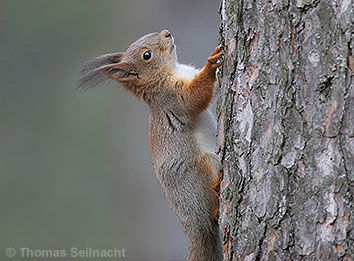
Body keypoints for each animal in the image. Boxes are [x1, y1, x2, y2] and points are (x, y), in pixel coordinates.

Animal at [79, 29, 223, 258]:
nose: (167, 33)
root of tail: (195, 225)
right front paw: (210, 65)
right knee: (212, 210)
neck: (170, 73)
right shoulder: (172, 99)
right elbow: (193, 98)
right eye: (147, 55)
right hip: (200, 171)